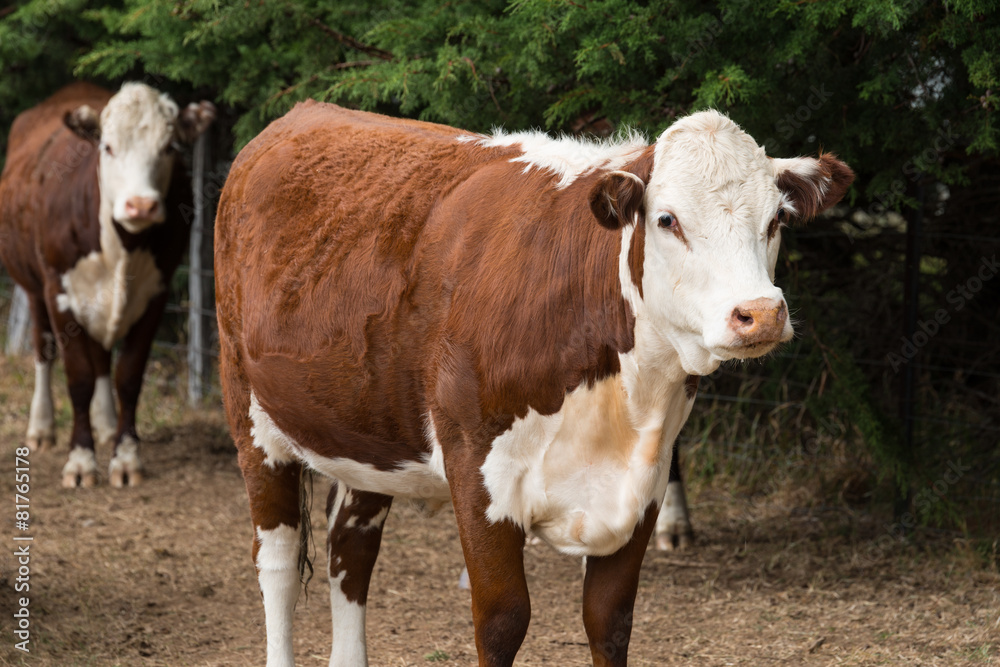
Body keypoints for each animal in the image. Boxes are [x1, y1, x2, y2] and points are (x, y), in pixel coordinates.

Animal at [0, 83, 215, 488]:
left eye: (168, 147)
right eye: (109, 147)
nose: (141, 205)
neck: (123, 246)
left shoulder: (156, 293)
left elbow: (128, 376)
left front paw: (126, 457)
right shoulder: (58, 292)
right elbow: (79, 377)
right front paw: (81, 461)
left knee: (101, 356)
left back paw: (105, 424)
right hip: (33, 286)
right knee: (43, 349)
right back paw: (42, 427)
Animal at [213, 100, 852, 667]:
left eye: (776, 220)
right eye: (668, 220)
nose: (760, 313)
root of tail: (299, 114)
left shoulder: (643, 487)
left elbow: (609, 620)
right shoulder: (478, 475)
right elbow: (502, 621)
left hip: (366, 431)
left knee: (350, 549)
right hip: (251, 415)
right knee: (277, 561)